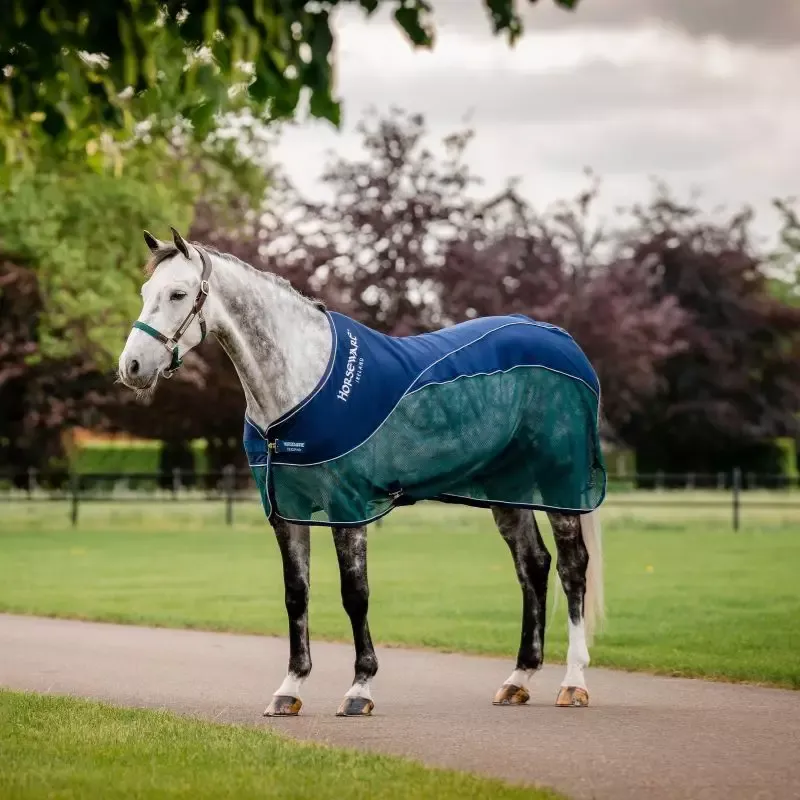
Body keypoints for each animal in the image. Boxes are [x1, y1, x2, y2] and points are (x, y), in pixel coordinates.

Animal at [117, 227, 606, 717]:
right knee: (533, 565)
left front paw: (360, 689)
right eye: (144, 292)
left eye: (178, 294)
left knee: (571, 568)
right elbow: (296, 593)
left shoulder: (347, 507)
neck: (301, 384)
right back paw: (519, 677)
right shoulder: (286, 512)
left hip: (560, 484)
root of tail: (562, 340)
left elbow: (355, 594)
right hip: (506, 491)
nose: (132, 367)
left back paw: (574, 682)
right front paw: (290, 688)